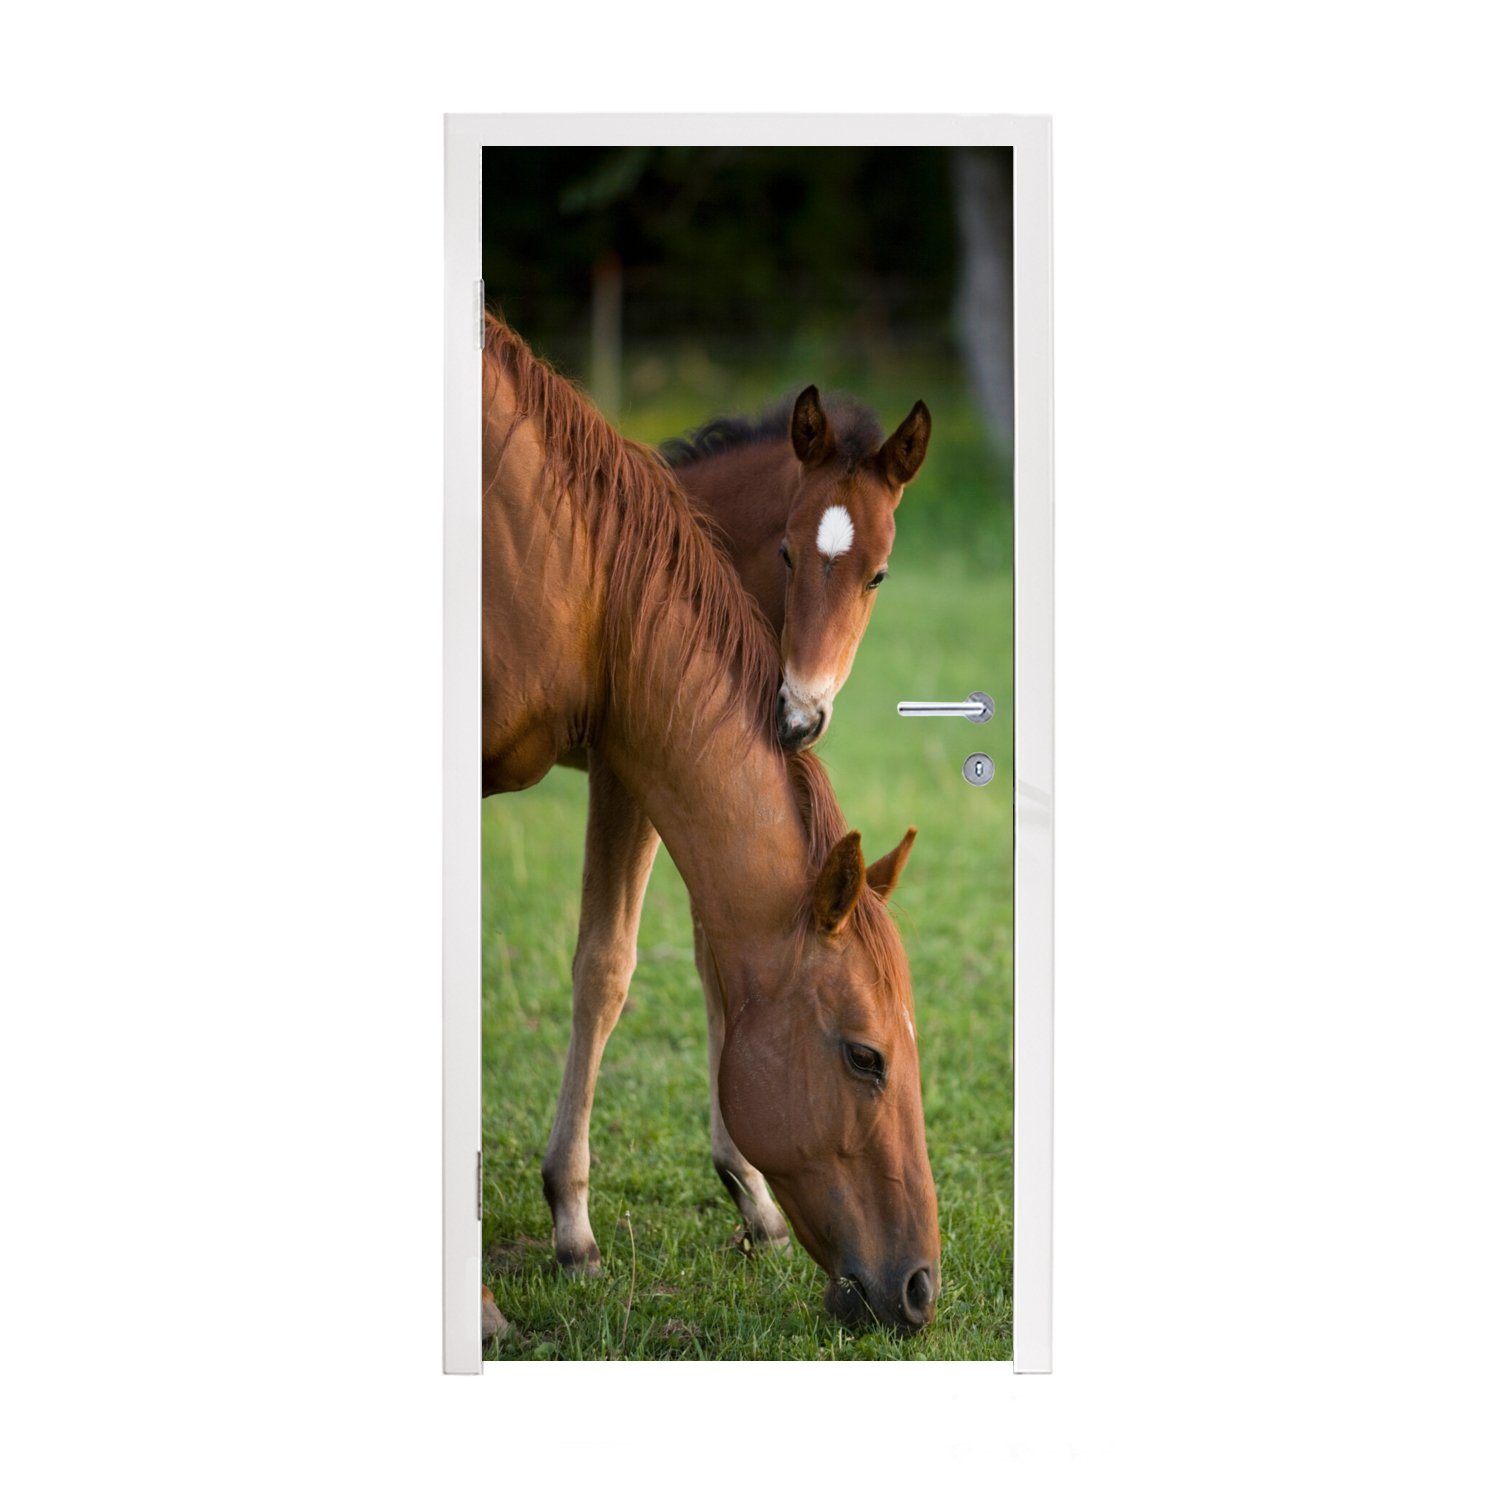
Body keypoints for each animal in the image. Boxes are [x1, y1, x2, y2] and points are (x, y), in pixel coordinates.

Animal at [482, 315, 940, 1329]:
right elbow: (607, 970)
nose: (801, 712)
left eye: (879, 574)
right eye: (788, 552)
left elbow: (712, 965)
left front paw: (750, 1196)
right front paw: (573, 1227)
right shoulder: (627, 771)